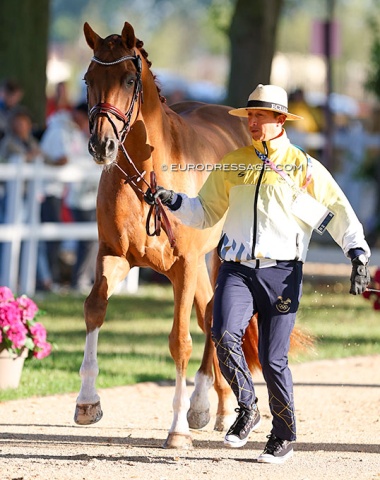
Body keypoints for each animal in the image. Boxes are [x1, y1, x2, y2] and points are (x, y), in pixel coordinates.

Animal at [75, 21, 308, 450]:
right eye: (88, 78)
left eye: (129, 78)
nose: (102, 145)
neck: (147, 174)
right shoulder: (113, 255)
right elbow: (94, 308)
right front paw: (87, 402)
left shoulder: (184, 265)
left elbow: (180, 340)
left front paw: (178, 427)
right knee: (209, 315)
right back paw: (213, 408)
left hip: (214, 258)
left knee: (212, 317)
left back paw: (206, 407)